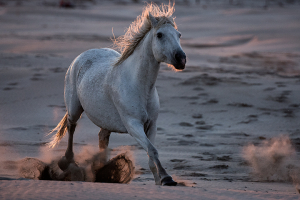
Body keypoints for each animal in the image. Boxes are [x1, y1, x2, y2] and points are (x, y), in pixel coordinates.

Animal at [48, 2, 186, 186]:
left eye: (179, 35)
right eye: (159, 35)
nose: (181, 59)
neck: (139, 86)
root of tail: (80, 57)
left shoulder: (152, 125)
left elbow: (151, 155)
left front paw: (159, 181)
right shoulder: (133, 125)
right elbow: (152, 150)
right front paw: (167, 178)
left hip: (105, 121)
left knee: (102, 137)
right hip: (74, 108)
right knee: (71, 126)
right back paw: (66, 162)